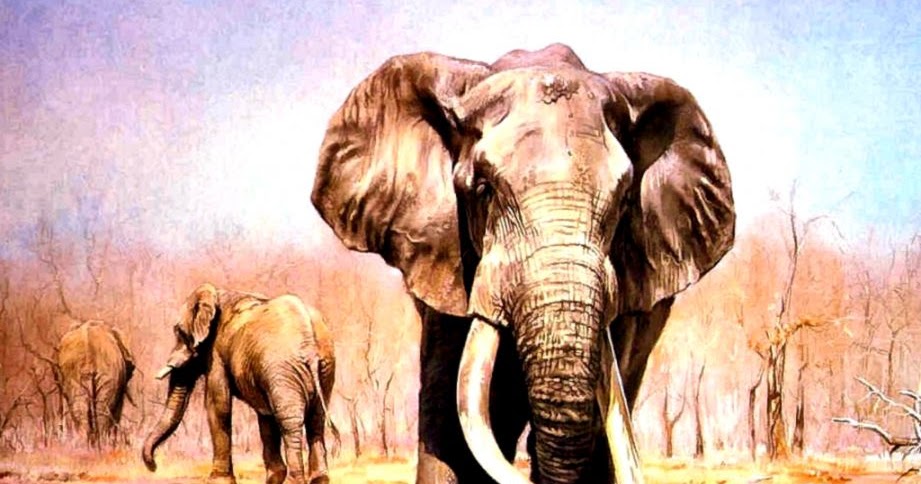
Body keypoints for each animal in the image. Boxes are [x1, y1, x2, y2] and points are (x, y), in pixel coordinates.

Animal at [142, 283, 337, 484]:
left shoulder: (217, 352)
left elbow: (218, 404)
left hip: (283, 368)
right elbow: (265, 415)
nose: (154, 466)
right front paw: (273, 478)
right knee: (315, 420)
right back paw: (319, 479)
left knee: (290, 422)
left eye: (178, 331)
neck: (217, 294)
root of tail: (309, 342)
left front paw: (219, 481)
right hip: (324, 367)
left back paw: (295, 481)